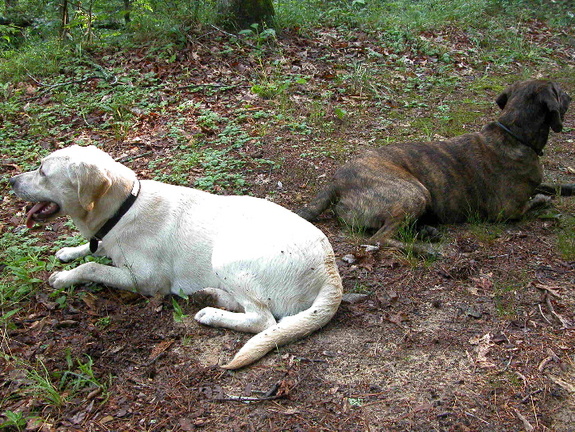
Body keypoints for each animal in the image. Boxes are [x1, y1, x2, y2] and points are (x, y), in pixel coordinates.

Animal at [10, 145, 342, 368]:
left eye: (42, 171)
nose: (11, 181)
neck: (124, 207)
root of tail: (331, 271)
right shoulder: (106, 240)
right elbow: (93, 249)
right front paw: (69, 252)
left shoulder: (146, 281)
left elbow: (91, 266)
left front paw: (64, 277)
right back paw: (211, 296)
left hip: (227, 254)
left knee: (264, 320)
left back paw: (212, 313)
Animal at [300, 79, 572, 251]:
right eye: (559, 91)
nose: (570, 94)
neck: (513, 133)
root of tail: (336, 182)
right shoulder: (507, 211)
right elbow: (532, 203)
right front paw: (542, 201)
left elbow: (553, 185)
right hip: (414, 193)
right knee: (380, 239)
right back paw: (424, 248)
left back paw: (426, 232)